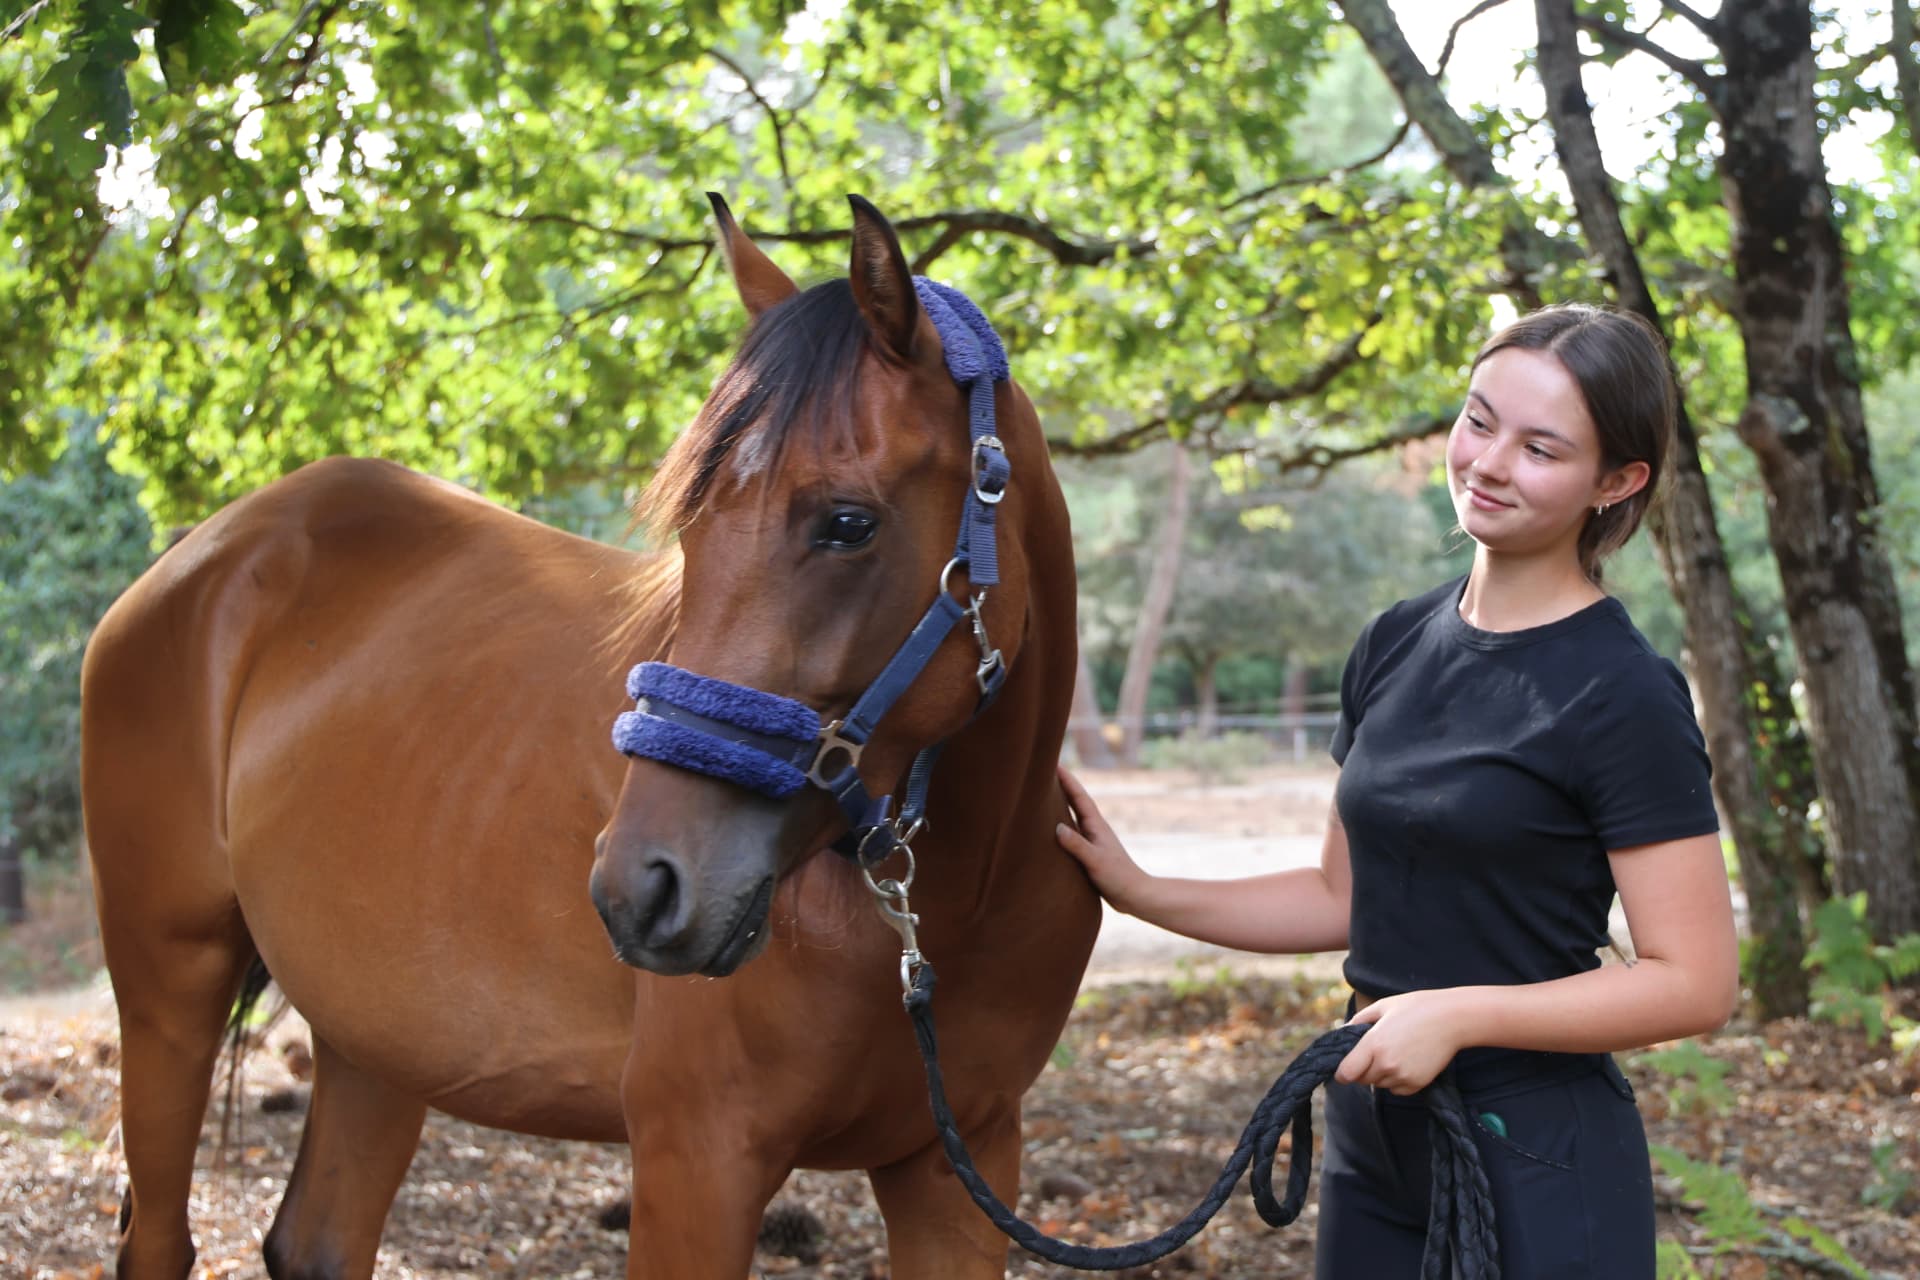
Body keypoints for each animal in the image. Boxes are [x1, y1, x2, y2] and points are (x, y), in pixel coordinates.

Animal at [80, 193, 1101, 1280]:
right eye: (691, 529)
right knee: (158, 1234)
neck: (950, 902)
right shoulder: (696, 1160)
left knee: (317, 1236)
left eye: (848, 523)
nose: (639, 885)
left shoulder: (956, 1165)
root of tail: (207, 553)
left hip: (371, 1036)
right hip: (169, 988)